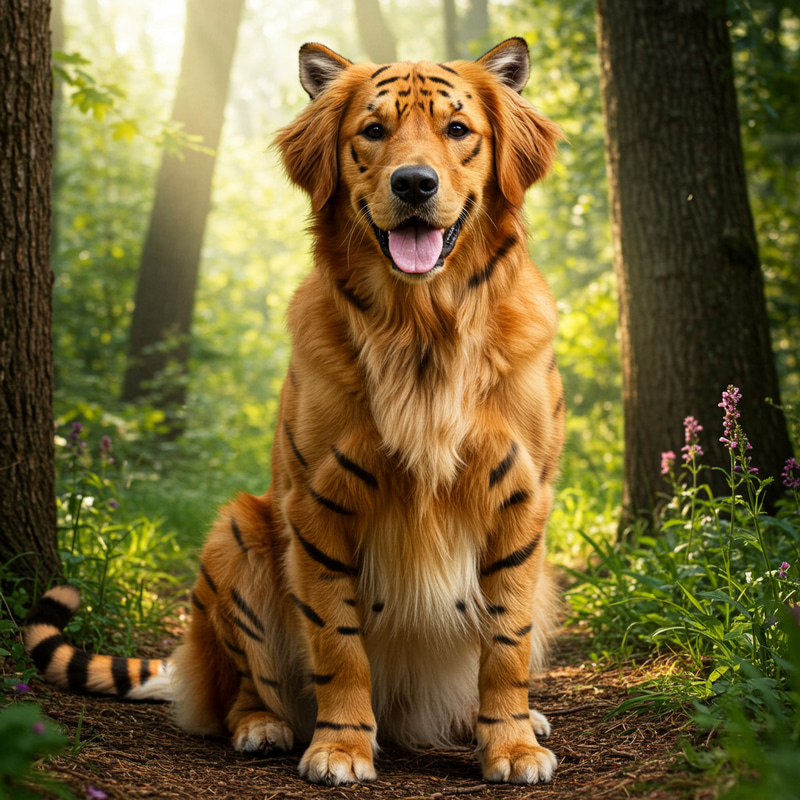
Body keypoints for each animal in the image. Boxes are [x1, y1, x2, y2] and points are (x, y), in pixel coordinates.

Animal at [25, 37, 565, 786]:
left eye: (458, 130)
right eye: (374, 132)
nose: (415, 184)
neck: (421, 330)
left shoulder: (520, 497)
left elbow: (506, 643)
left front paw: (511, 743)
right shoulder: (320, 500)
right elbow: (339, 644)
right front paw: (340, 746)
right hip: (236, 533)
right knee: (239, 692)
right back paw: (263, 724)